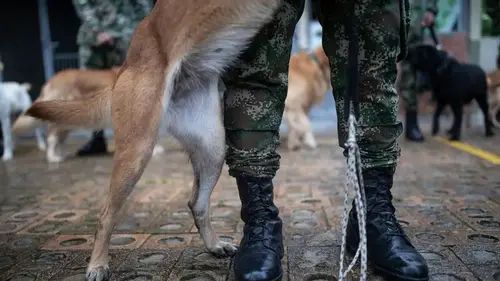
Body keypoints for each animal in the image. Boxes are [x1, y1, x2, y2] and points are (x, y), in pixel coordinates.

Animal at [25, 1, 282, 278]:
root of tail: (123, 70)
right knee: (106, 214)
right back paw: (97, 264)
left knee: (197, 203)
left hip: (213, 148)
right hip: (138, 150)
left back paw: (214, 245)